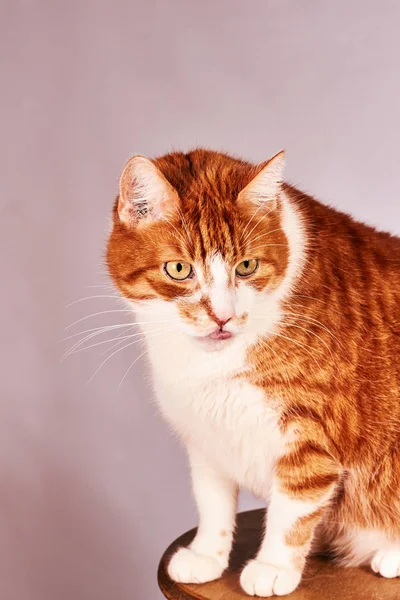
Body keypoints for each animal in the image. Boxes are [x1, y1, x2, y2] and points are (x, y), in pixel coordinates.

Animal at [105, 149, 400, 596]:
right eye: (179, 269)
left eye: (246, 266)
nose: (223, 317)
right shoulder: (206, 434)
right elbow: (212, 503)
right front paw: (207, 555)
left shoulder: (311, 438)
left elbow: (291, 511)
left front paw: (274, 566)